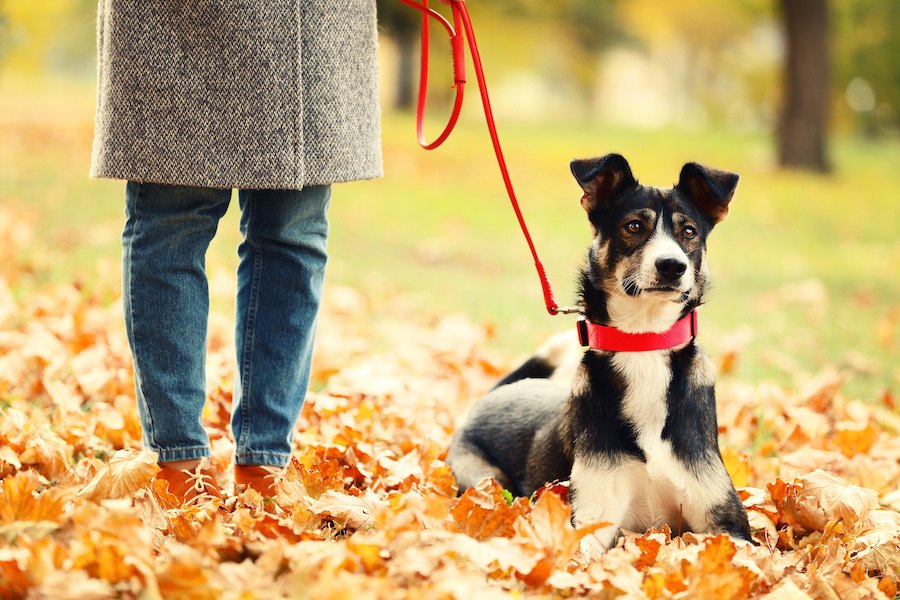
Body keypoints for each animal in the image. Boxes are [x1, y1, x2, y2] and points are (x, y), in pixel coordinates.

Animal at [448, 155, 752, 552]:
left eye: (688, 232)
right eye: (633, 226)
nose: (672, 266)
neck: (643, 342)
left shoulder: (725, 523)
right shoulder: (593, 519)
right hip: (484, 478)